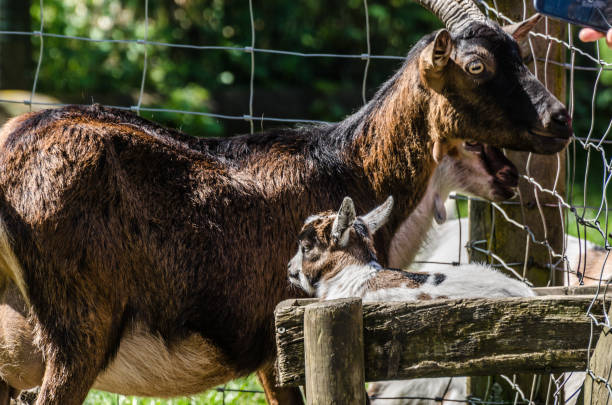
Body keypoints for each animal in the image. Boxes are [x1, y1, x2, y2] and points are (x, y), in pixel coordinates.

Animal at [0, 1, 568, 402]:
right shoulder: (277, 345)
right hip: (80, 331)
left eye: (521, 56)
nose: (559, 120)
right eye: (475, 66)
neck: (344, 165)